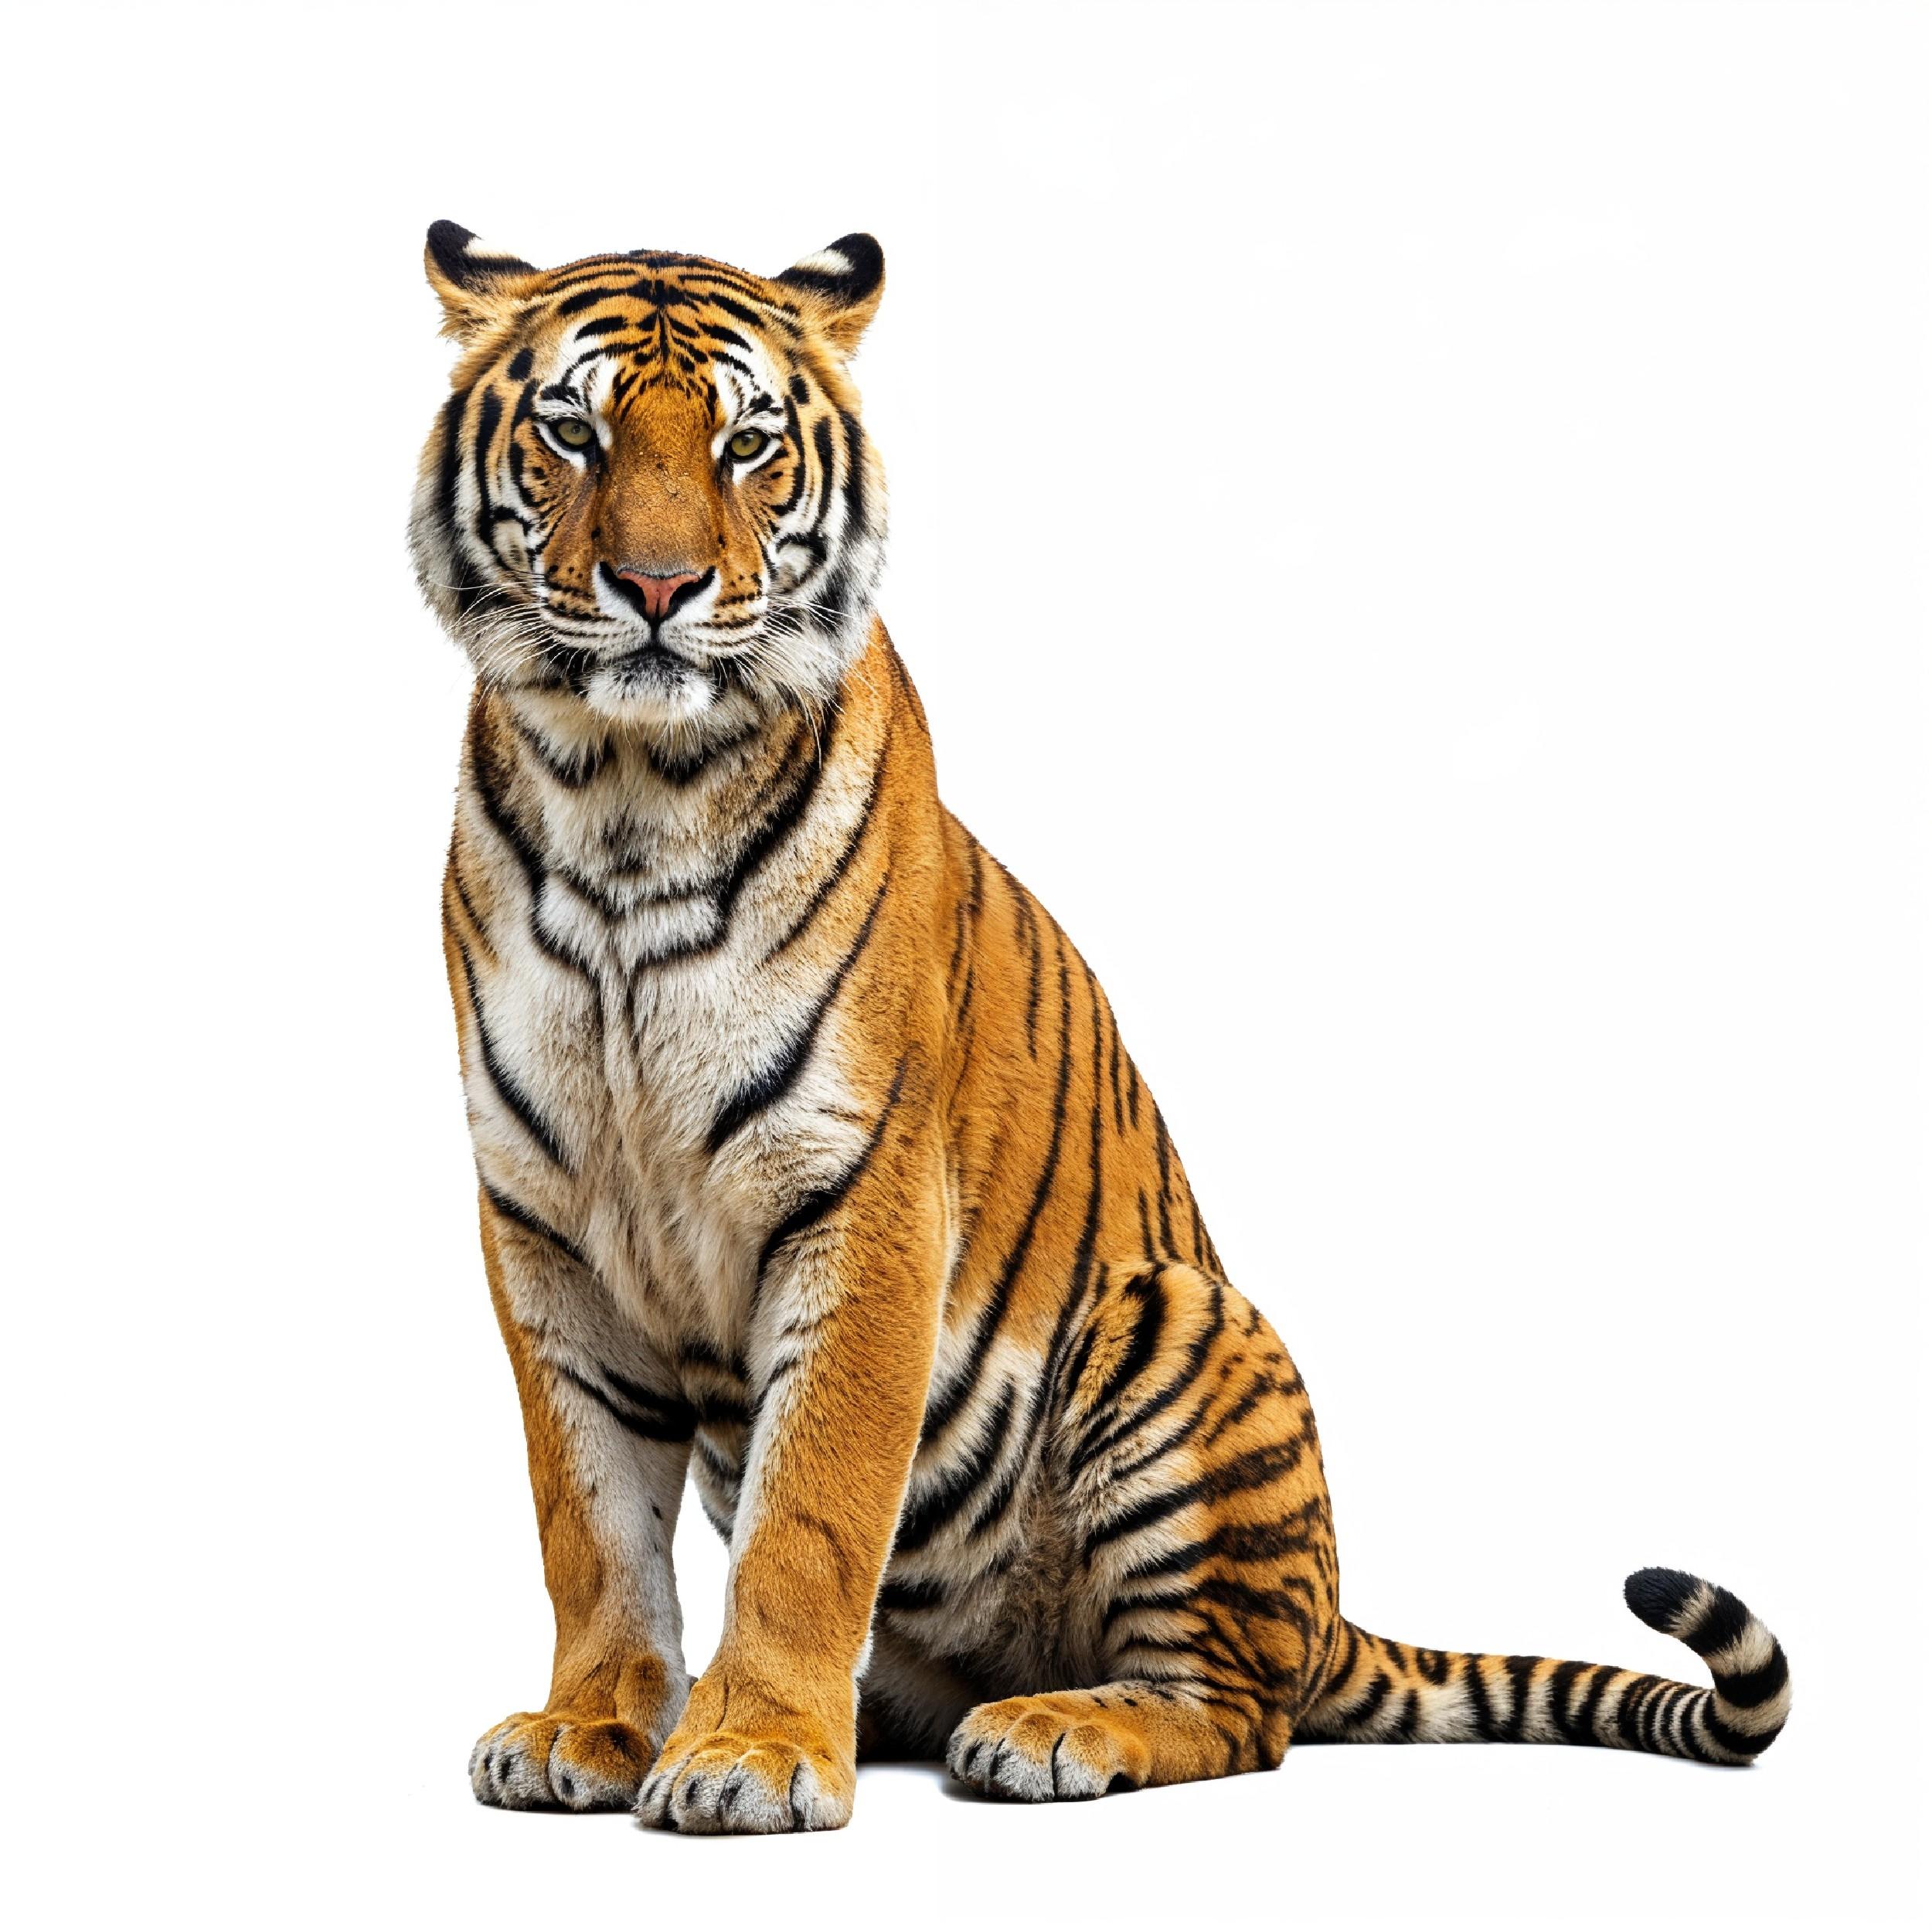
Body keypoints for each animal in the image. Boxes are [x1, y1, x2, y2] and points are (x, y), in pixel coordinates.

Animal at [411, 220, 1791, 1834]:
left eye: (748, 445)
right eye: (575, 433)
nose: (655, 584)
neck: (625, 795)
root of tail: (1330, 1609)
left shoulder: (864, 1196)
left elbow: (811, 1514)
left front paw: (753, 1752)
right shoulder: (547, 1226)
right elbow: (591, 1526)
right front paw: (594, 1725)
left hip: (1171, 1326)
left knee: (1243, 1709)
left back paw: (1051, 1729)